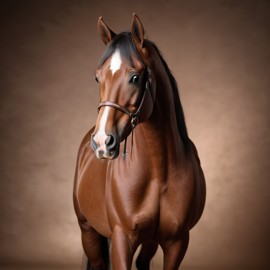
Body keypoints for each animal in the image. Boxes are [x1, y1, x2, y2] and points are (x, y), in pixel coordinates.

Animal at [73, 14, 206, 270]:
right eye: (97, 77)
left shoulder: (177, 242)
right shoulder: (122, 238)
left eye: (135, 78)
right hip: (89, 232)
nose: (102, 141)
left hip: (150, 242)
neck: (158, 172)